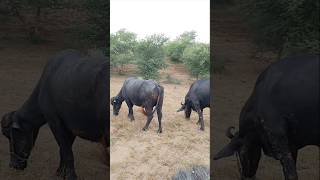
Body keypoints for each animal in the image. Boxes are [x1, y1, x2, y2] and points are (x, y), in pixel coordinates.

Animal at [0, 50, 109, 180]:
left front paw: (70, 175)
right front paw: (60, 172)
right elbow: (64, 149)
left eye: (9, 135)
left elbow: (66, 151)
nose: (13, 165)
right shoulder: (69, 126)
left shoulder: (54, 121)